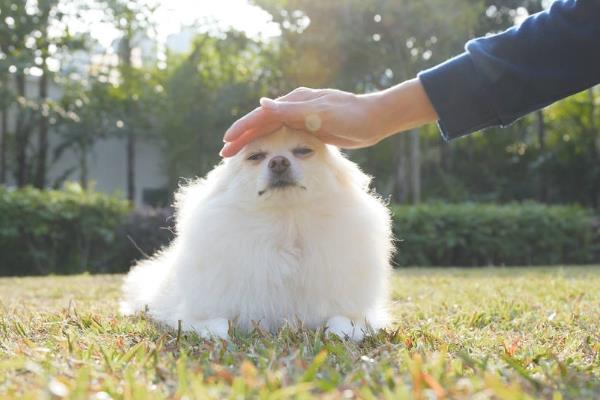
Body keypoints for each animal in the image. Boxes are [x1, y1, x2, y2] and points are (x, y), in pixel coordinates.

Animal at [121, 126, 394, 340]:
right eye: (255, 157)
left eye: (304, 151)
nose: (279, 161)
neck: (285, 227)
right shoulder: (193, 314)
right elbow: (219, 326)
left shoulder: (355, 311)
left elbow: (342, 323)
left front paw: (340, 332)